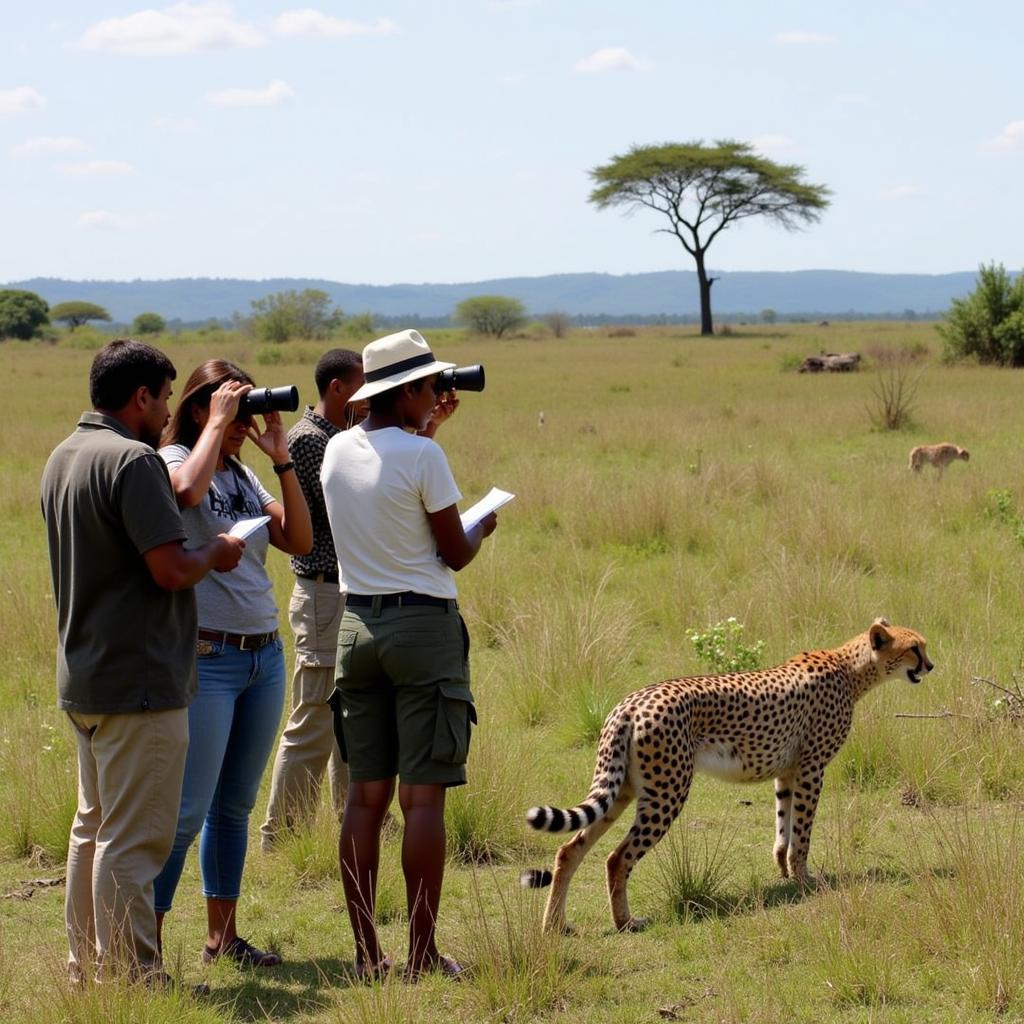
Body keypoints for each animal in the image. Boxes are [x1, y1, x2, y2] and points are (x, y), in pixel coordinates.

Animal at [524, 614, 933, 937]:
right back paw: (625, 922)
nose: (931, 666)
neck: (851, 670)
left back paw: (556, 925)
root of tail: (629, 703)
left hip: (623, 789)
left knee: (569, 849)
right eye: (915, 648)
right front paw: (805, 879)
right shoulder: (811, 769)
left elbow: (783, 828)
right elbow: (802, 833)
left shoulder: (785, 773)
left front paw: (784, 874)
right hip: (667, 792)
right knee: (617, 858)